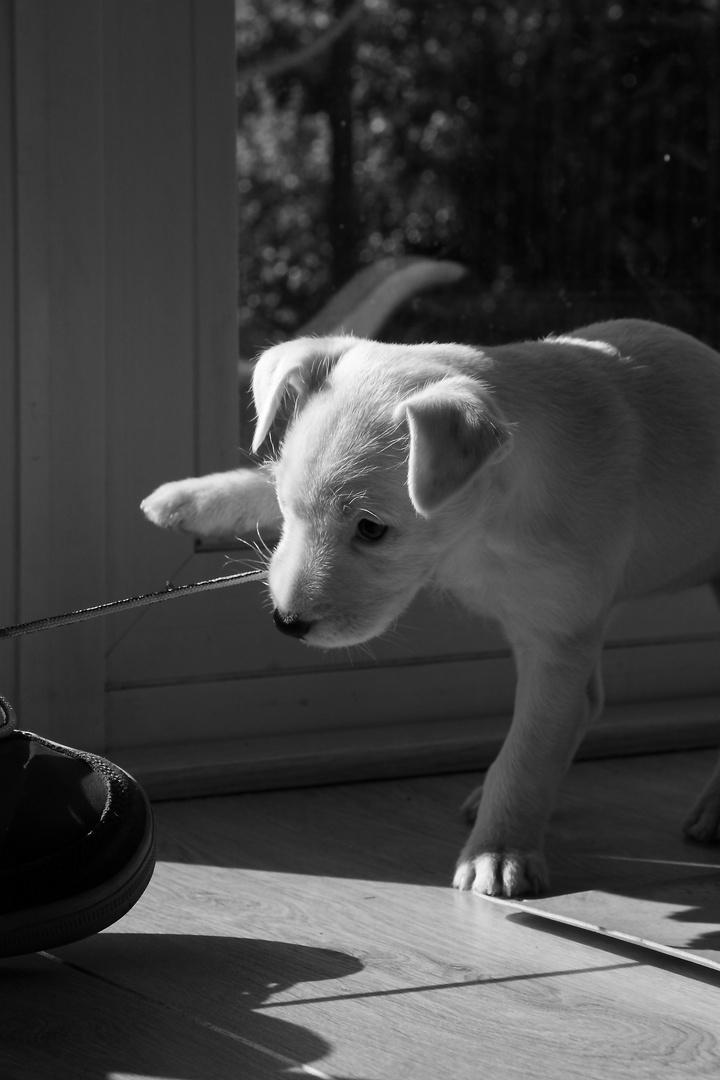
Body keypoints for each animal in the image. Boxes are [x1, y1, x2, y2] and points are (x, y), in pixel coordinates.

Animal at [142, 317, 720, 894]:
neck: (481, 529)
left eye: (372, 529)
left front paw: (499, 852)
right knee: (589, 703)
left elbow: (528, 753)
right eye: (286, 505)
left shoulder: (556, 641)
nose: (287, 624)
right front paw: (191, 498)